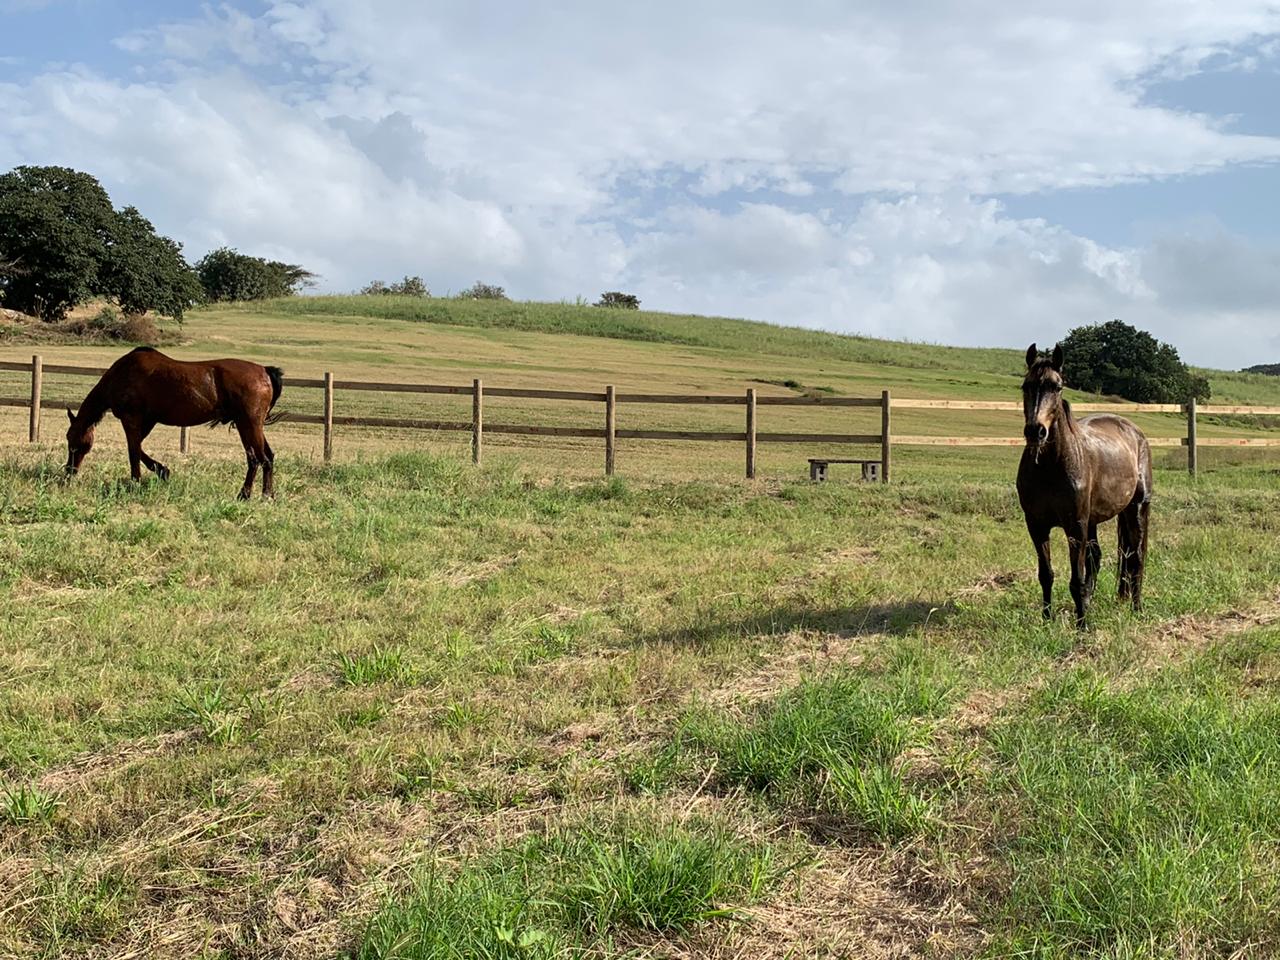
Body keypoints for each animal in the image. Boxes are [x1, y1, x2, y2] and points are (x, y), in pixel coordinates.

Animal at [65, 347, 284, 499]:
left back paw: (249, 495)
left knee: (257, 459)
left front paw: (136, 482)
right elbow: (139, 448)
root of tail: (264, 371)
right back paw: (268, 495)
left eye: (72, 441)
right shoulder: (148, 421)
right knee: (268, 457)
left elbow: (133, 451)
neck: (122, 374)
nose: (68, 472)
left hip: (247, 424)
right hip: (252, 426)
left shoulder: (131, 419)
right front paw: (162, 471)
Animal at [1016, 342, 1152, 627]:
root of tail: (1134, 431)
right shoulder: (1036, 525)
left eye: (1057, 386)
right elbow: (1046, 574)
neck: (1051, 467)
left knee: (1136, 558)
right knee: (1097, 558)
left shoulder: (1075, 526)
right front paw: (1047, 619)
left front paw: (1082, 626)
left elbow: (1076, 579)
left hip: (1136, 509)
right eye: (1026, 385)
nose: (1036, 431)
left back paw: (1136, 608)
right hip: (1093, 520)